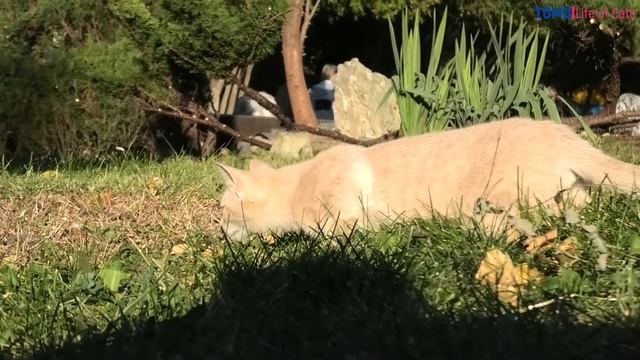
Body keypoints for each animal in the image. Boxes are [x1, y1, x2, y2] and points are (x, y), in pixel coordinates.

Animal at [216, 119, 640, 240]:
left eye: (222, 210)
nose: (216, 227)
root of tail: (562, 132)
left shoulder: (344, 218)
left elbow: (330, 236)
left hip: (501, 197)